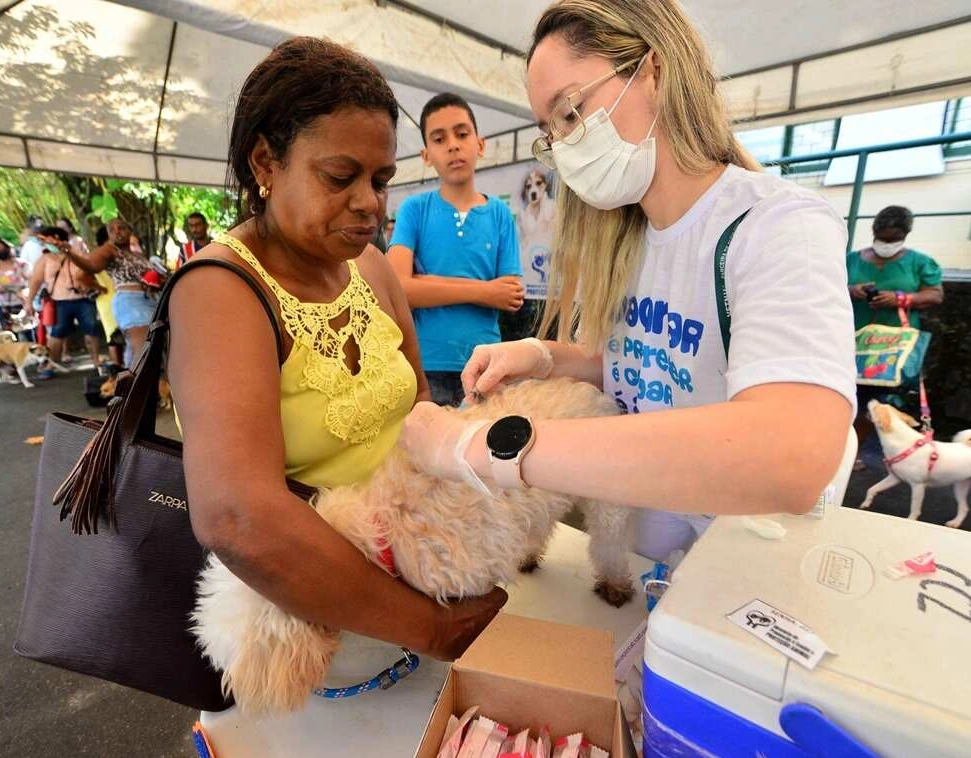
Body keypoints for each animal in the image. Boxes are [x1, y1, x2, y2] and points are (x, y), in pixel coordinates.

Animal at [195, 382, 636, 716]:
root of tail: (593, 390)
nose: (226, 689)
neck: (382, 527)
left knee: (611, 542)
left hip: (607, 502)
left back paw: (615, 584)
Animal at [860, 400, 971, 532]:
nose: (873, 400)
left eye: (876, 407)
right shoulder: (894, 478)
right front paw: (866, 503)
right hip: (960, 487)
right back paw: (955, 523)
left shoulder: (918, 486)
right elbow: (872, 489)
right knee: (964, 508)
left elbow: (914, 509)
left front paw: (910, 521)